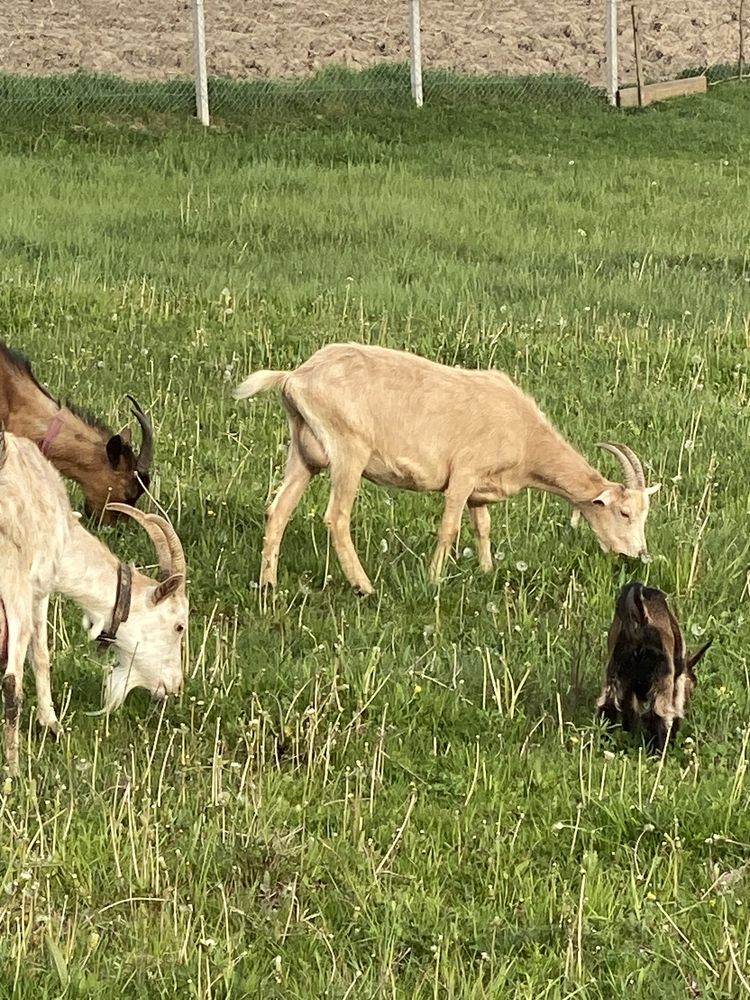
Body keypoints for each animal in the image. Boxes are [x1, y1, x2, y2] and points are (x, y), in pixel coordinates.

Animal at [0, 422, 188, 772]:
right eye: (179, 625)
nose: (173, 686)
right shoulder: (37, 589)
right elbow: (41, 656)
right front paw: (51, 724)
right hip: (14, 585)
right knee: (11, 681)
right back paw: (14, 768)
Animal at [235, 344, 664, 592]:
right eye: (625, 512)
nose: (638, 554)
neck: (525, 436)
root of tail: (295, 377)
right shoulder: (464, 474)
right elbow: (450, 528)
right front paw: (434, 578)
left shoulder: (480, 490)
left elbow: (483, 527)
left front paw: (487, 571)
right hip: (348, 451)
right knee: (337, 516)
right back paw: (364, 586)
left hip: (304, 451)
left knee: (279, 510)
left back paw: (268, 585)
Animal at [596, 584, 712, 752]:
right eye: (693, 685)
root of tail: (640, 618)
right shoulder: (676, 682)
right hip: (662, 676)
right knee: (657, 713)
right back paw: (659, 751)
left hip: (614, 669)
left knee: (608, 705)